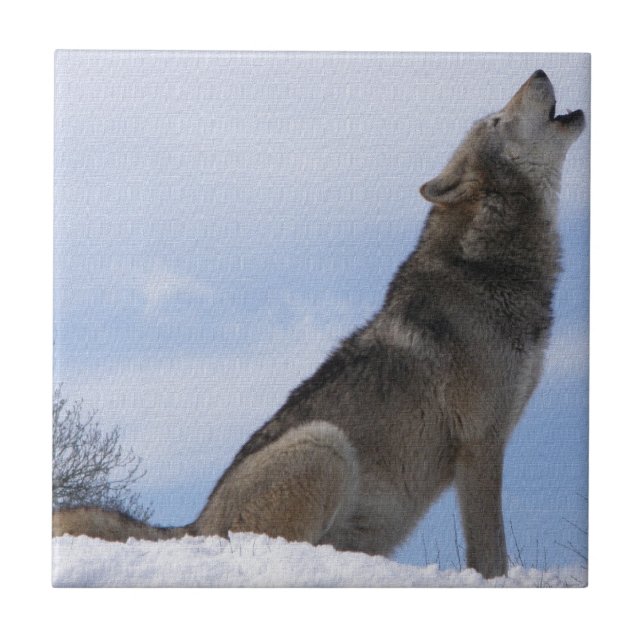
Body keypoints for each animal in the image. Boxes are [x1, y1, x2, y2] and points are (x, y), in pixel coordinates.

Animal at [53, 70, 584, 579]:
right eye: (496, 120)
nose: (540, 69)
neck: (489, 267)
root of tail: (194, 526)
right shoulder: (480, 443)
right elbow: (491, 553)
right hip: (325, 443)